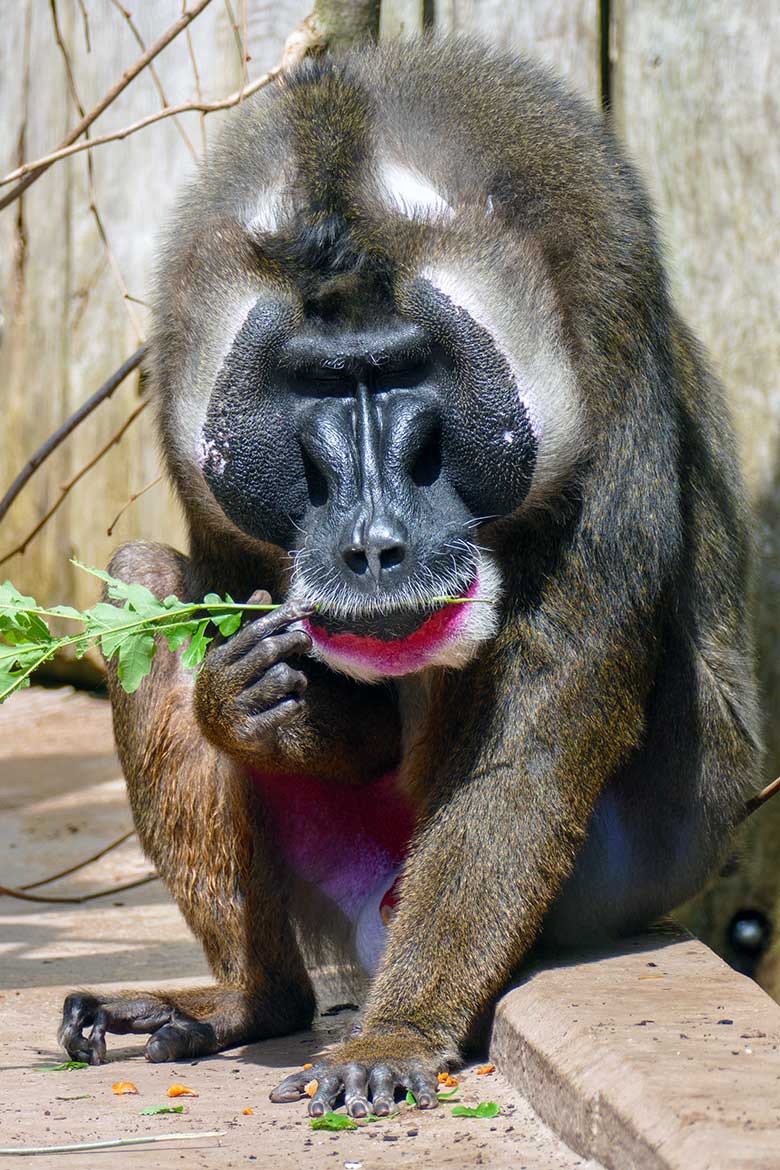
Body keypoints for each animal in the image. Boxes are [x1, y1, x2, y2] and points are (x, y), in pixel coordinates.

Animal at [61, 38, 762, 1113]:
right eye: (317, 385)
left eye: (401, 374)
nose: (373, 542)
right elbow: (226, 612)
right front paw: (247, 703)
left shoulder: (609, 338)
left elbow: (544, 716)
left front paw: (399, 1034)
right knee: (144, 575)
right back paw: (249, 1000)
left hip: (620, 870)